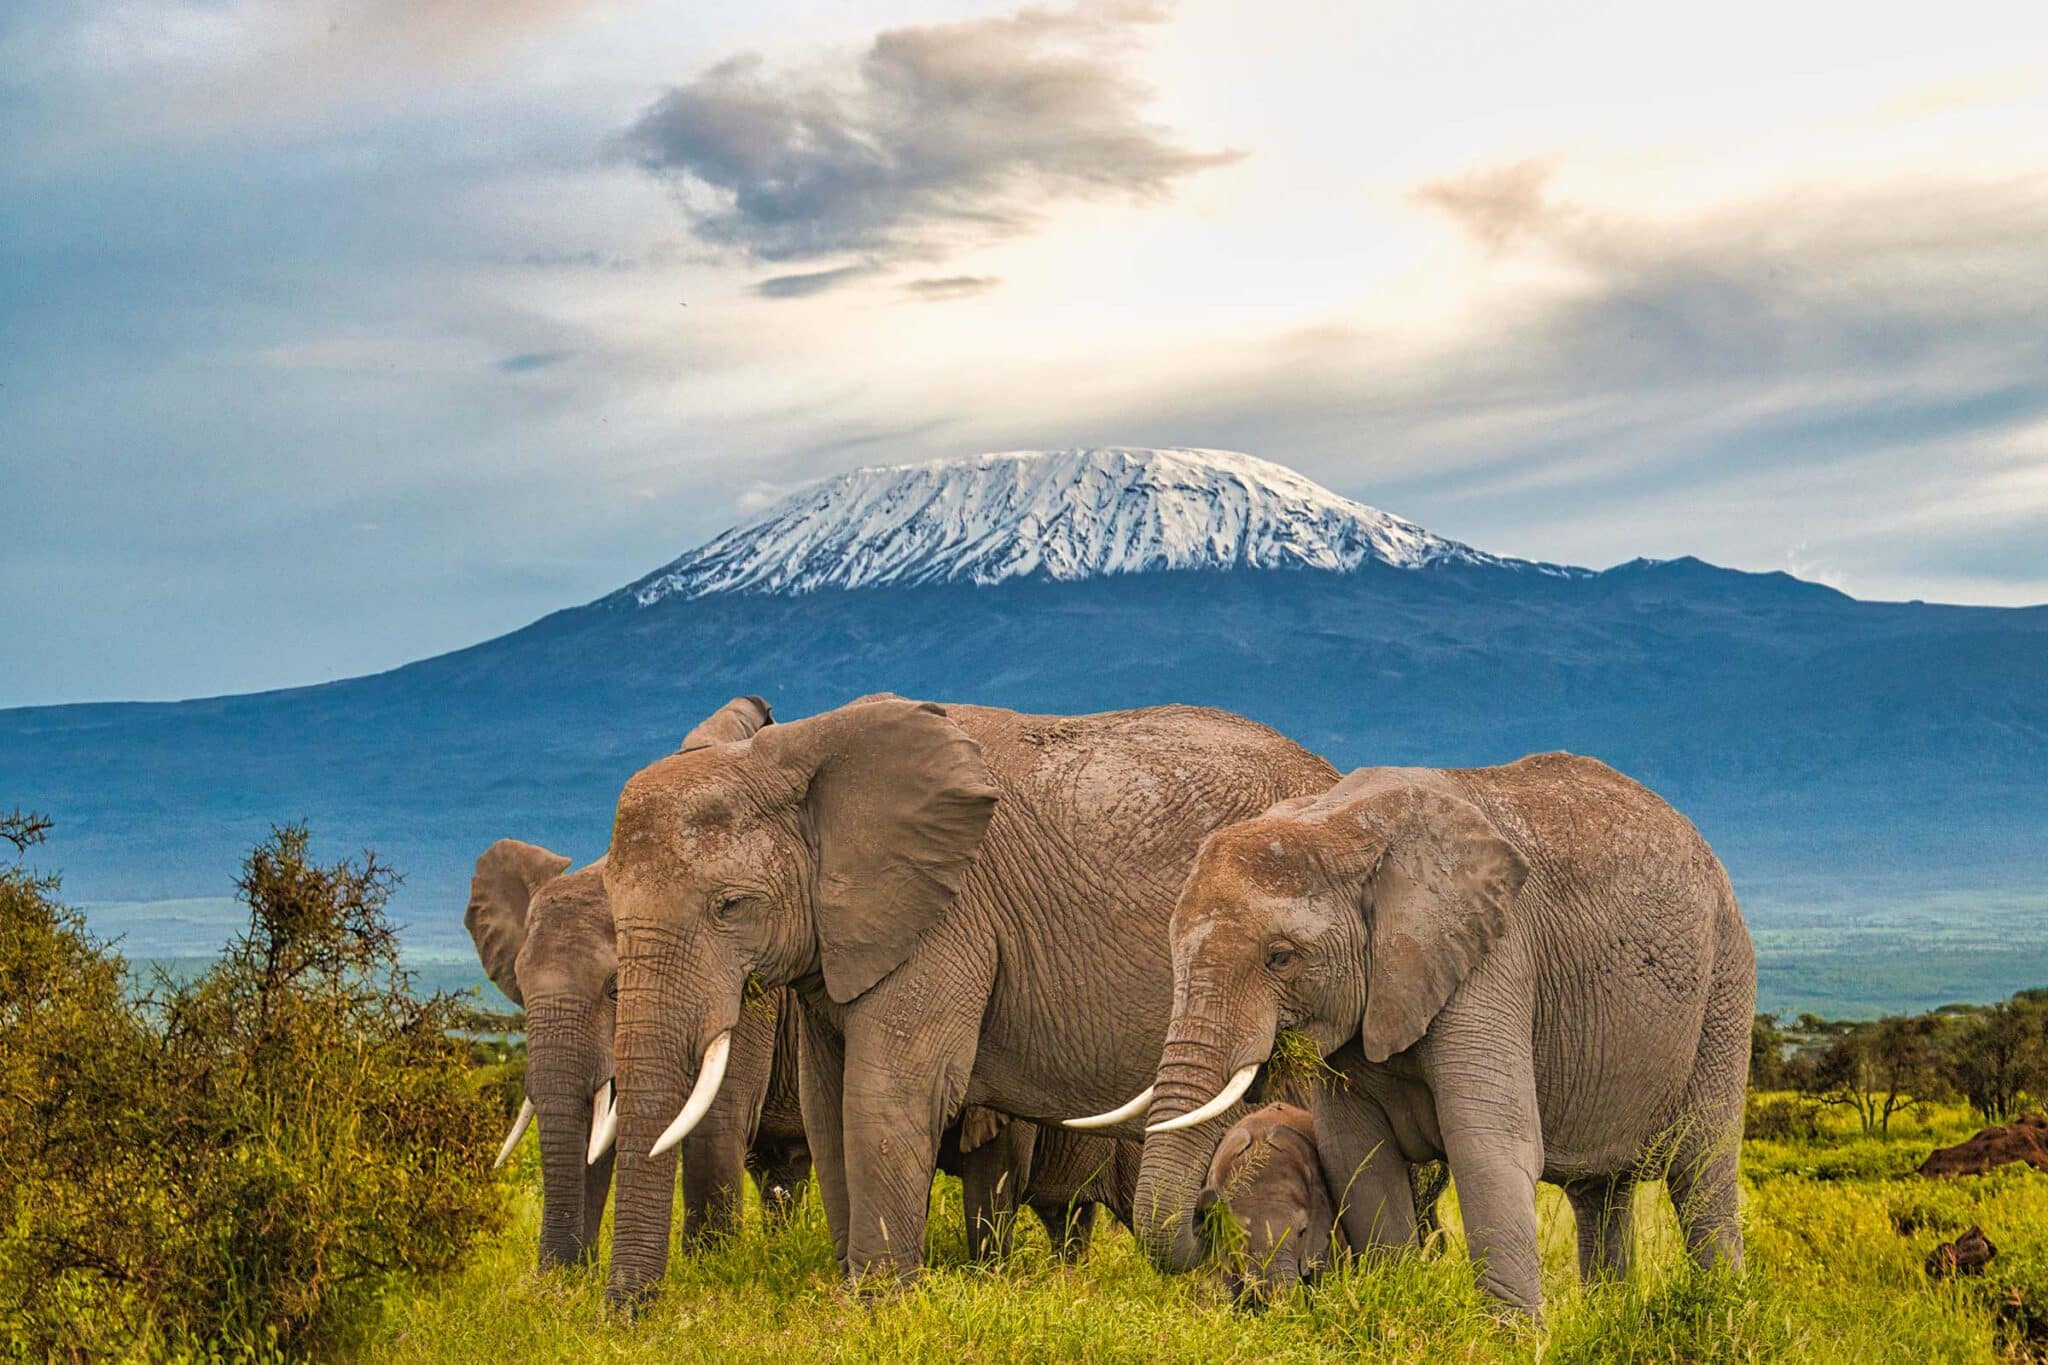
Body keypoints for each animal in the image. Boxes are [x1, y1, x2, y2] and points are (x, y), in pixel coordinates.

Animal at [599, 694, 1338, 1304]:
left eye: (730, 905)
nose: (629, 1313)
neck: (801, 754)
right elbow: (826, 1101)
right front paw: (854, 1298)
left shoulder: (948, 917)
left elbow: (889, 1091)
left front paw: (877, 1308)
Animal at [1093, 755, 1755, 1315]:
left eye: (1279, 957)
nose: (1206, 1208)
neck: (1338, 824)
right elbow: (1358, 1156)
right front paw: (1399, 1308)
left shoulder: (1494, 958)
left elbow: (1489, 1143)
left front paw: (1508, 1340)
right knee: (1599, 1192)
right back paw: (1608, 1316)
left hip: (1725, 983)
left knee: (1702, 1170)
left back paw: (1719, 1312)